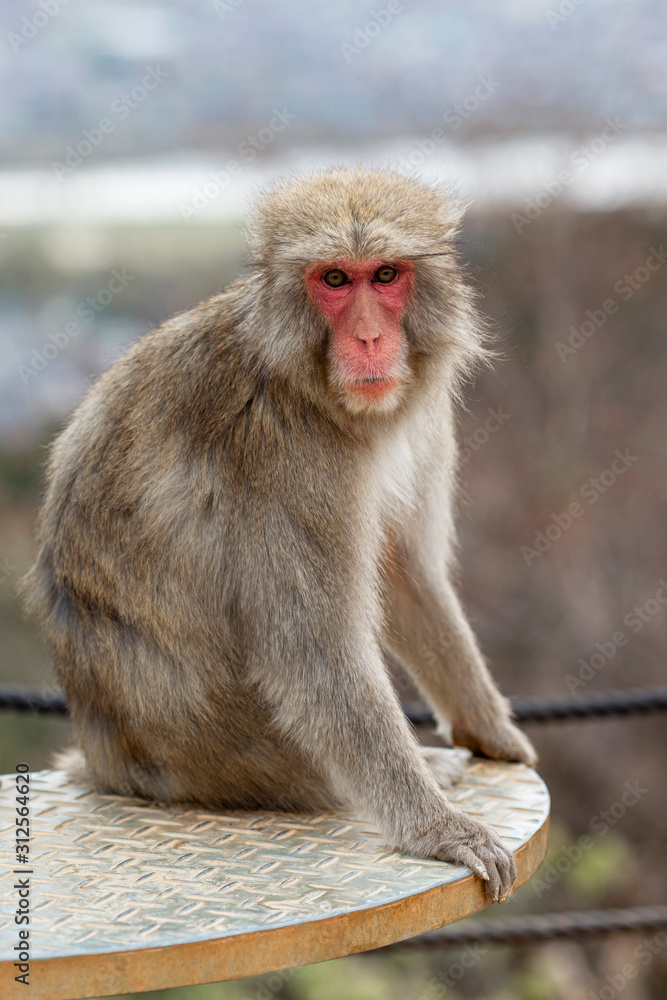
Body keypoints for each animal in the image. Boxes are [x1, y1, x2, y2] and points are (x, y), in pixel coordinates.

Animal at [23, 167, 537, 903]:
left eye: (385, 275)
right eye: (334, 280)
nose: (370, 339)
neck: (313, 386)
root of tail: (109, 760)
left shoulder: (420, 412)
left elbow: (404, 571)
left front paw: (490, 729)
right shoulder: (282, 453)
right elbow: (315, 653)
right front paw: (439, 830)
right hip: (231, 759)